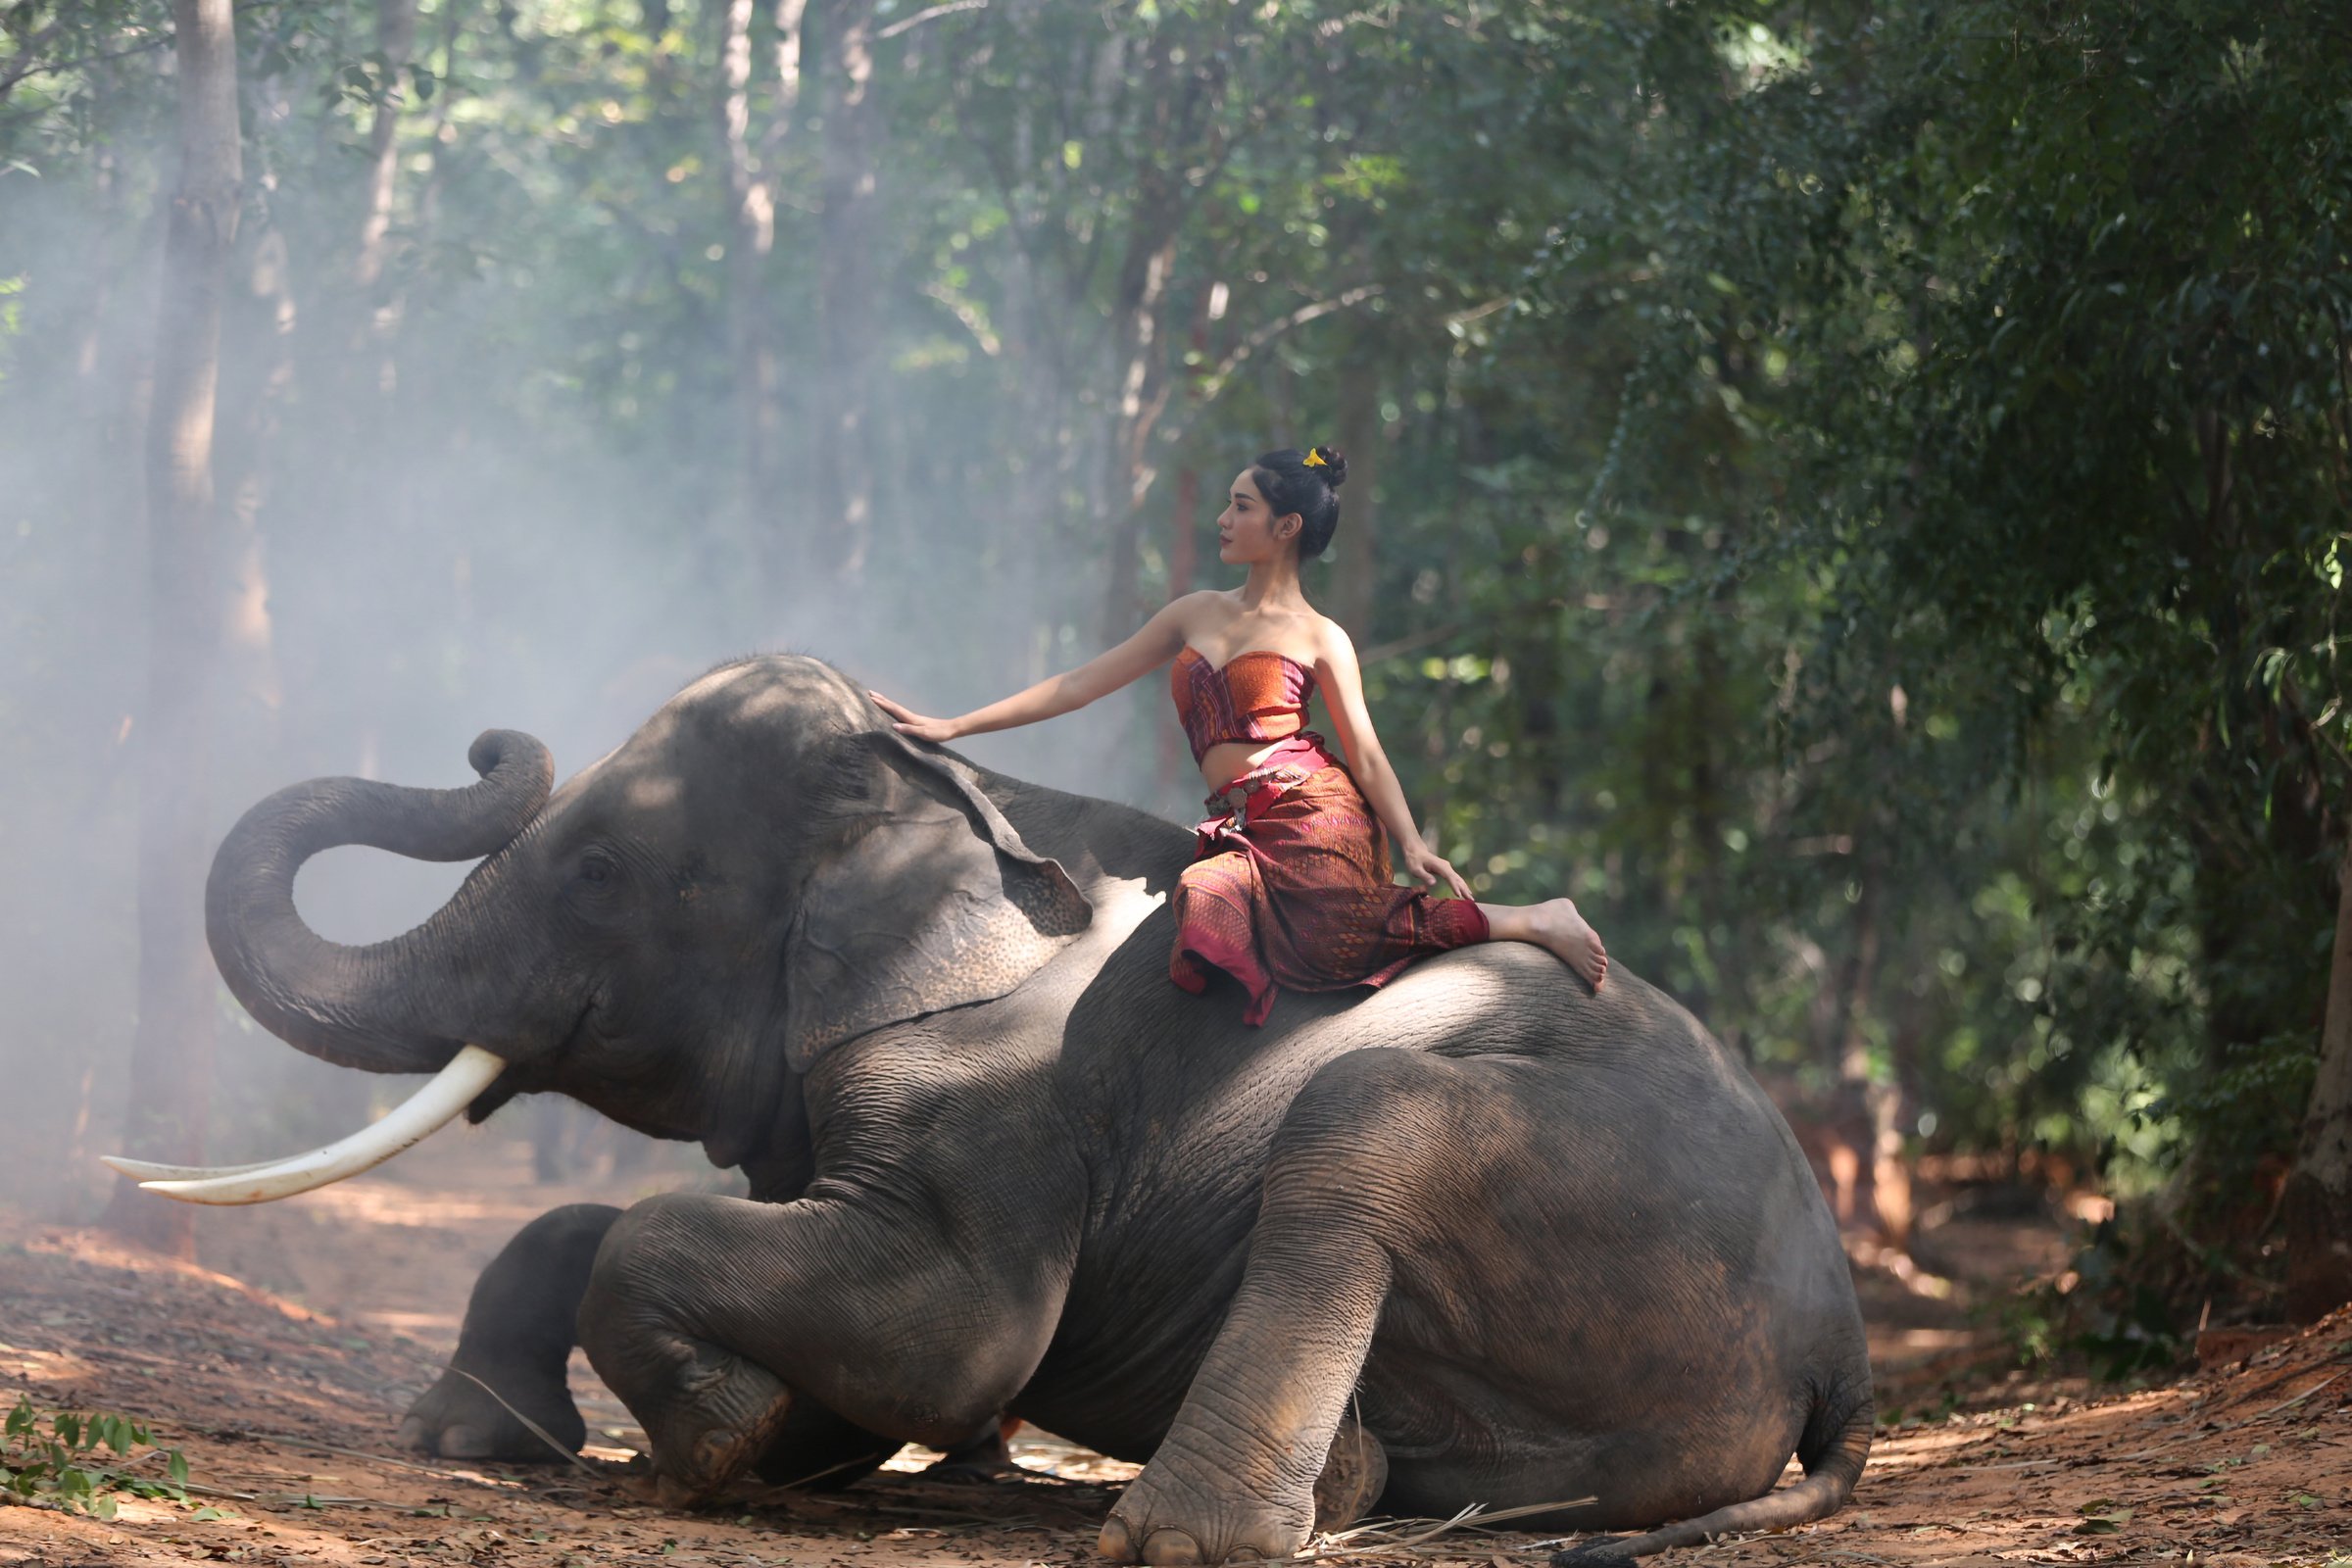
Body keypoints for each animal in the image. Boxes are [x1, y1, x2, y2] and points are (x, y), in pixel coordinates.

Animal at [147, 658, 1872, 1560]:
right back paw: (1355, 1480)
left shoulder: (1003, 1098)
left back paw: (1182, 1535)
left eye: (600, 872)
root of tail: (1840, 1340)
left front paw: (728, 1438)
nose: (490, 739)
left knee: (1364, 1120)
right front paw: (491, 1440)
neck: (956, 801)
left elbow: (944, 1331)